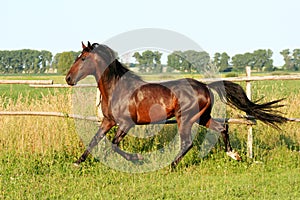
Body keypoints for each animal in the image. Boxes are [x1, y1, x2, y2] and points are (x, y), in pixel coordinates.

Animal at [65, 41, 286, 167]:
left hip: (185, 118)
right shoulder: (108, 121)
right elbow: (94, 140)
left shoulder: (126, 123)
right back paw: (234, 155)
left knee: (187, 142)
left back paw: (171, 166)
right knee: (222, 127)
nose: (68, 78)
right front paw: (77, 162)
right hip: (203, 118)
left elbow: (114, 145)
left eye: (83, 58)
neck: (117, 89)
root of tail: (205, 86)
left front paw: (139, 159)